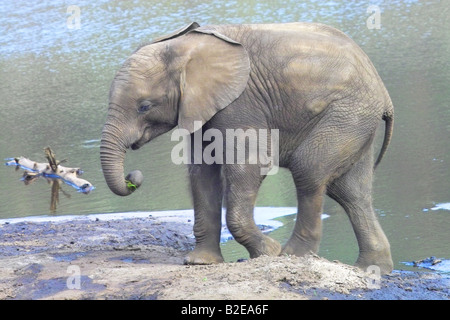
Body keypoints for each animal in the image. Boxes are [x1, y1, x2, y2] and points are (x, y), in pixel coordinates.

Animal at [101, 22, 394, 274]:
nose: (133, 177)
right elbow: (202, 172)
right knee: (351, 191)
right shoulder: (202, 107)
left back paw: (292, 255)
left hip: (348, 114)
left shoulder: (240, 103)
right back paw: (371, 268)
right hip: (355, 119)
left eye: (144, 106)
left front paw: (268, 252)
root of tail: (384, 94)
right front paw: (201, 263)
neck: (185, 47)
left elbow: (249, 166)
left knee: (309, 170)